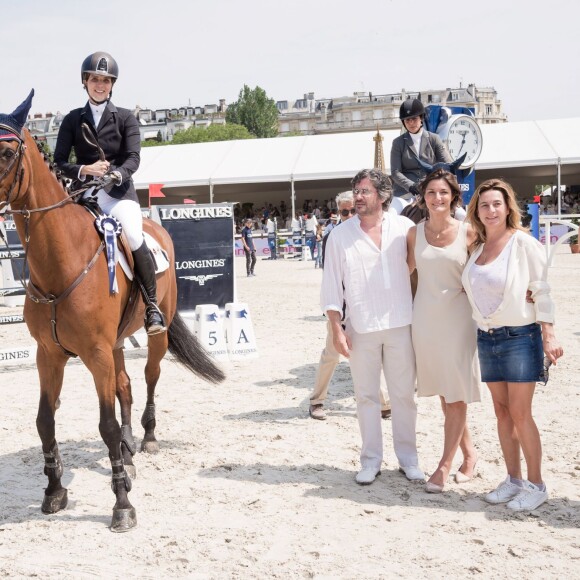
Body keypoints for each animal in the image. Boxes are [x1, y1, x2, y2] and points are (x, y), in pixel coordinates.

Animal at [0, 98, 224, 532]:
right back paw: (128, 449)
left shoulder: (97, 353)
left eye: (5, 152)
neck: (60, 263)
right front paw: (54, 492)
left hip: (155, 335)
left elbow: (104, 424)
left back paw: (147, 438)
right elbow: (44, 421)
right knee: (125, 386)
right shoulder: (49, 355)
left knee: (149, 378)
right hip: (117, 344)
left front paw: (122, 504)